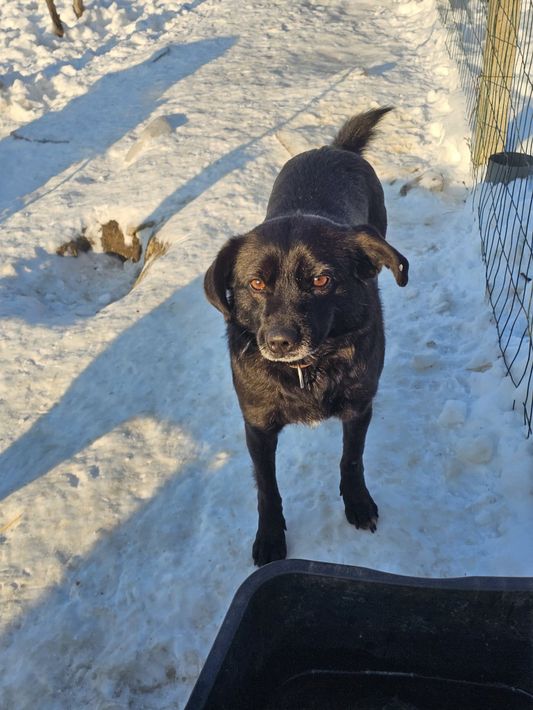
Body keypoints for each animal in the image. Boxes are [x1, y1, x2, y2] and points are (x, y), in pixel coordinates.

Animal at [204, 107, 409, 566]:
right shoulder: (258, 425)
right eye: (256, 284)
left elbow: (352, 459)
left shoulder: (358, 406)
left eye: (320, 280)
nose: (279, 342)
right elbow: (267, 488)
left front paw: (357, 502)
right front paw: (269, 538)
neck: (306, 370)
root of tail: (333, 148)